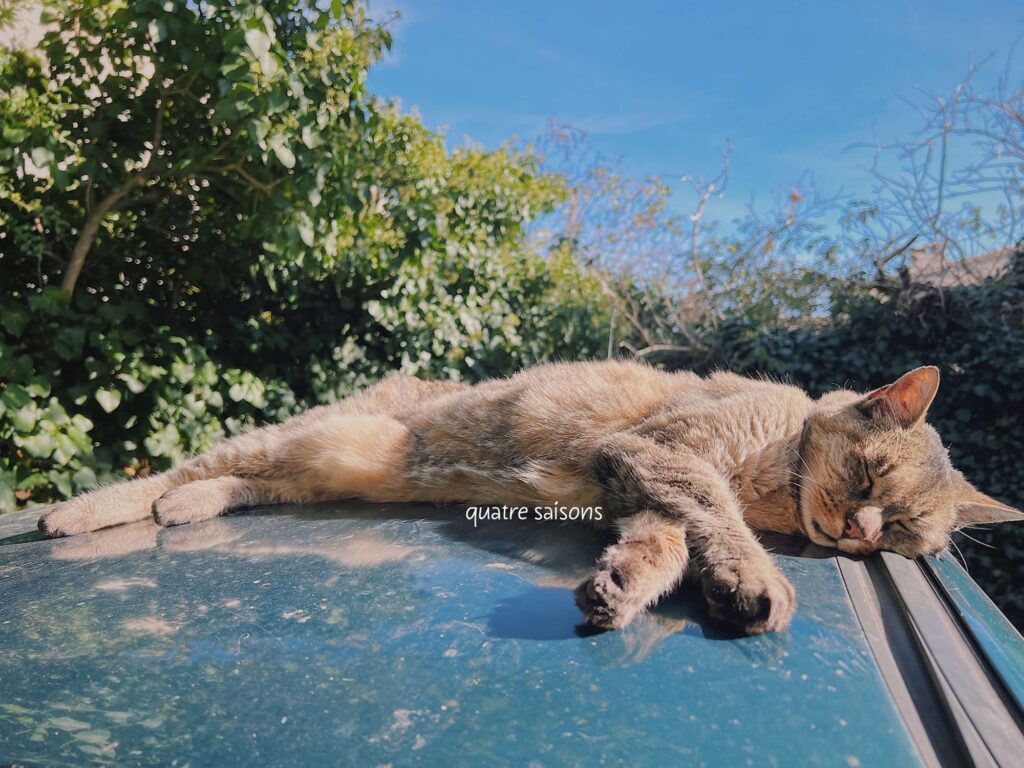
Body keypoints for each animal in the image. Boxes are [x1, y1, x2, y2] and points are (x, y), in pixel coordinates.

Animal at [36, 364, 1019, 634]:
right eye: (871, 480)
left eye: (900, 534)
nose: (857, 534)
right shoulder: (665, 454)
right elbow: (711, 514)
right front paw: (754, 578)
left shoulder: (643, 485)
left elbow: (668, 541)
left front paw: (629, 586)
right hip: (307, 434)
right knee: (183, 466)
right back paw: (83, 512)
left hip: (324, 463)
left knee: (234, 484)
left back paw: (186, 513)